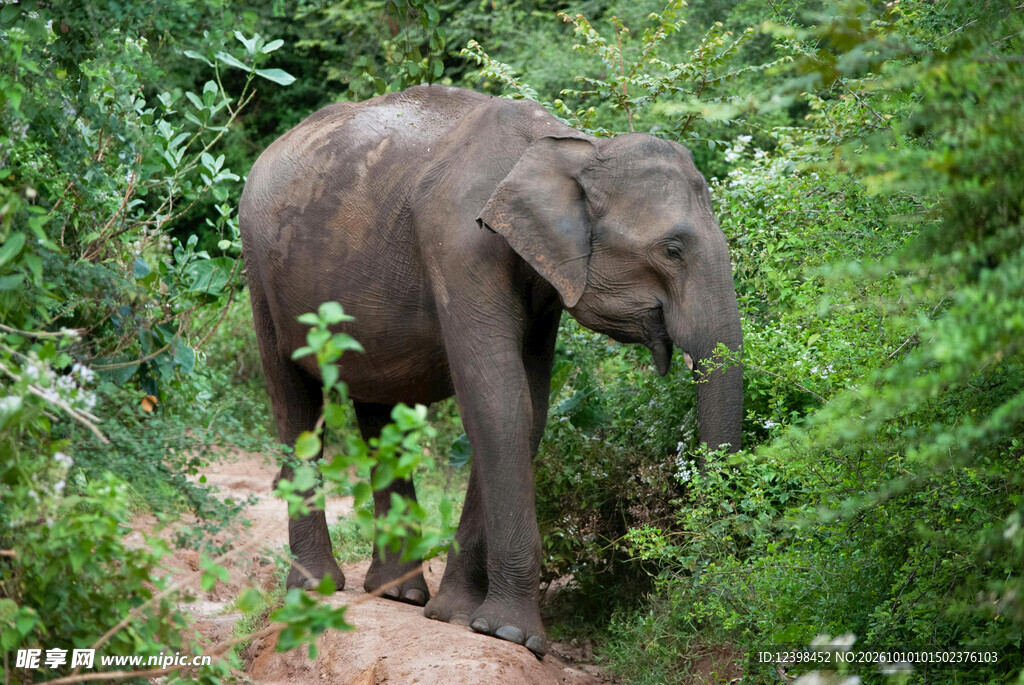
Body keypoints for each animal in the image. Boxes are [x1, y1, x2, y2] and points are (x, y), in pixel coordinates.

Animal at [238, 84, 742, 657]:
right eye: (672, 250)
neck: (573, 147)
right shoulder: (460, 248)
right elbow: (499, 402)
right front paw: (512, 635)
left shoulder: (543, 284)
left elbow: (526, 408)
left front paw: (456, 615)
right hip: (260, 269)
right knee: (295, 405)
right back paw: (316, 586)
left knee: (379, 416)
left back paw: (400, 594)